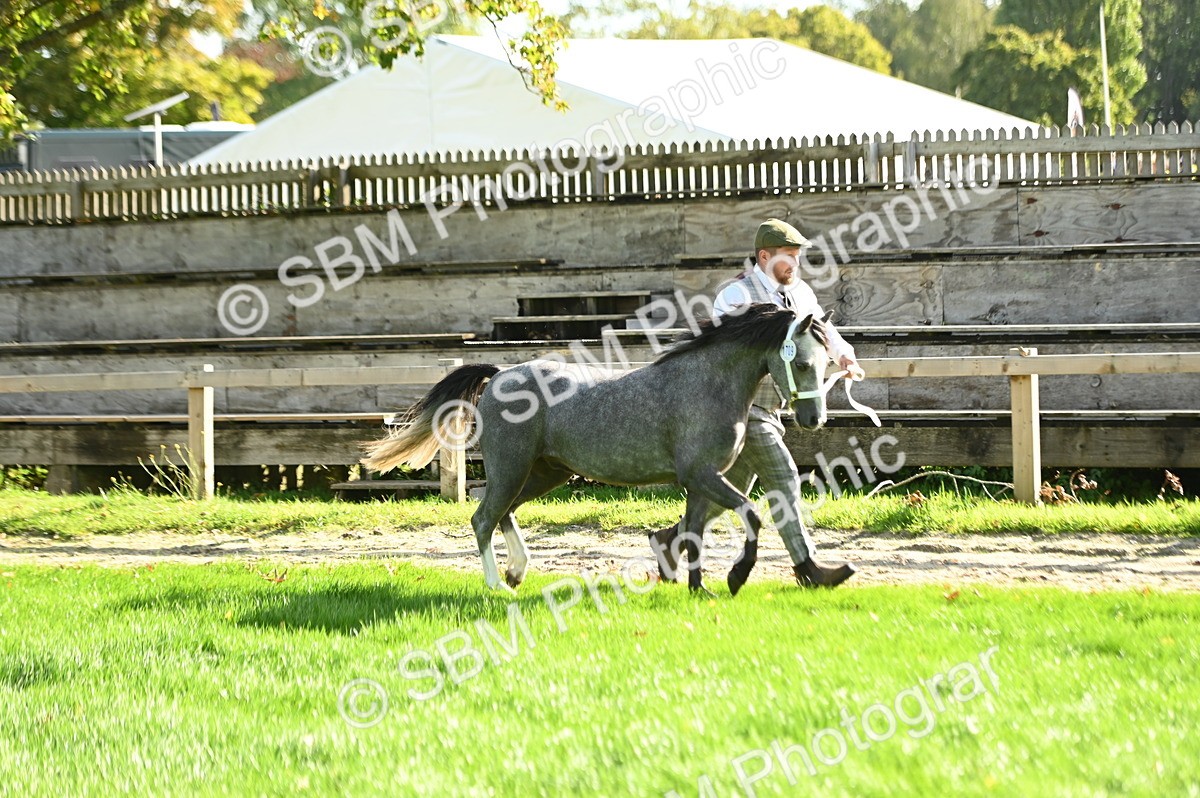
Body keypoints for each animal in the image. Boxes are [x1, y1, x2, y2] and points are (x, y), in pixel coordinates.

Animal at [361, 303, 830, 596]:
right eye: (802, 362)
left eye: (826, 363)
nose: (814, 420)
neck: (706, 385)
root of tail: (501, 375)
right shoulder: (701, 475)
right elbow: (750, 515)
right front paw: (736, 577)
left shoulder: (703, 480)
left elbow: (695, 533)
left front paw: (701, 590)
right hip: (512, 467)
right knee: (482, 518)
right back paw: (496, 585)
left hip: (545, 472)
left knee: (503, 513)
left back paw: (517, 571)